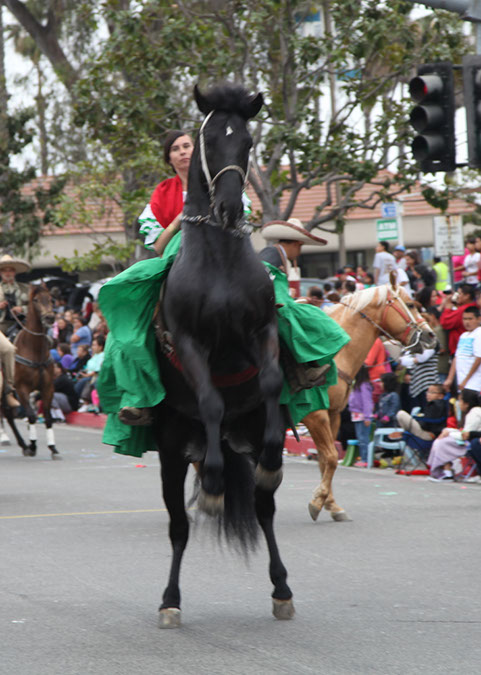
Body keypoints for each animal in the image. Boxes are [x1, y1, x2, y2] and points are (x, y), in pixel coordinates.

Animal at [3, 286, 57, 460]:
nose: (50, 317)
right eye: (36, 300)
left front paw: (53, 447)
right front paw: (33, 445)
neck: (34, 348)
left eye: (51, 299)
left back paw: (22, 444)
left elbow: (47, 417)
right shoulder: (22, 389)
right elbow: (32, 415)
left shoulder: (48, 387)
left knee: (8, 414)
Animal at [154, 84, 292, 628]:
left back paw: (281, 589)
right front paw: (212, 484)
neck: (219, 265)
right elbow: (211, 400)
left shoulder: (261, 329)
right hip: (172, 452)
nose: (232, 207)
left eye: (248, 140)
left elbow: (272, 380)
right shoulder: (190, 341)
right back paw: (170, 600)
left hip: (244, 436)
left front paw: (273, 456)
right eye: (210, 139)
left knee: (263, 508)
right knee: (178, 526)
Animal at [302, 278, 436, 524]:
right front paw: (318, 502)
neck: (332, 353)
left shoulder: (332, 414)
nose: (431, 335)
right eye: (411, 304)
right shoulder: (313, 415)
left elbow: (326, 460)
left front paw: (331, 504)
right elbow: (331, 457)